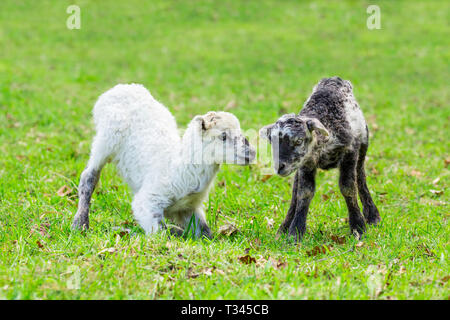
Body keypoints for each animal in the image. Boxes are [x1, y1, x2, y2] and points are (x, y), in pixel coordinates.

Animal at [74, 84, 256, 239]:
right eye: (223, 136)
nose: (252, 153)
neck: (179, 166)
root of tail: (120, 87)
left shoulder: (188, 208)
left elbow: (205, 232)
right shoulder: (148, 201)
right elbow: (162, 232)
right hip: (106, 140)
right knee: (89, 177)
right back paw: (80, 223)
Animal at [260, 77, 380, 240]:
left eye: (299, 141)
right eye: (271, 142)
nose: (280, 167)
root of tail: (335, 79)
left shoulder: (350, 152)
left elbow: (348, 188)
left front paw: (358, 227)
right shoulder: (306, 163)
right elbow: (304, 192)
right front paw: (295, 232)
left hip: (363, 144)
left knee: (360, 177)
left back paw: (372, 215)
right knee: (295, 191)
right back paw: (284, 227)